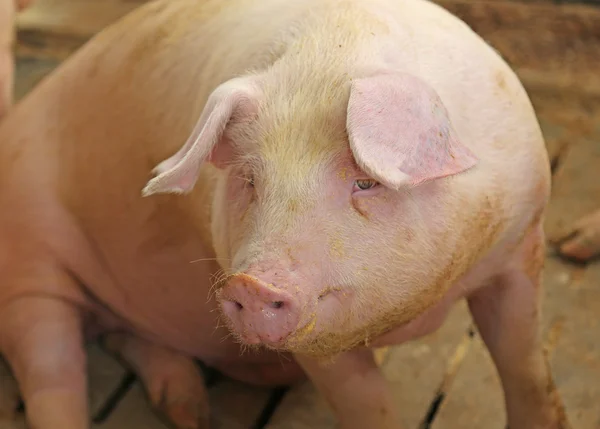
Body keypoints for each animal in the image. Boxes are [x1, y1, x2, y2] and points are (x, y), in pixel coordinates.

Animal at [0, 0, 572, 428]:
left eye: (365, 182)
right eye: (251, 181)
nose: (253, 284)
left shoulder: (522, 239)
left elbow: (524, 365)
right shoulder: (321, 341)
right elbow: (369, 407)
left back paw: (187, 411)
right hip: (27, 265)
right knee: (54, 374)